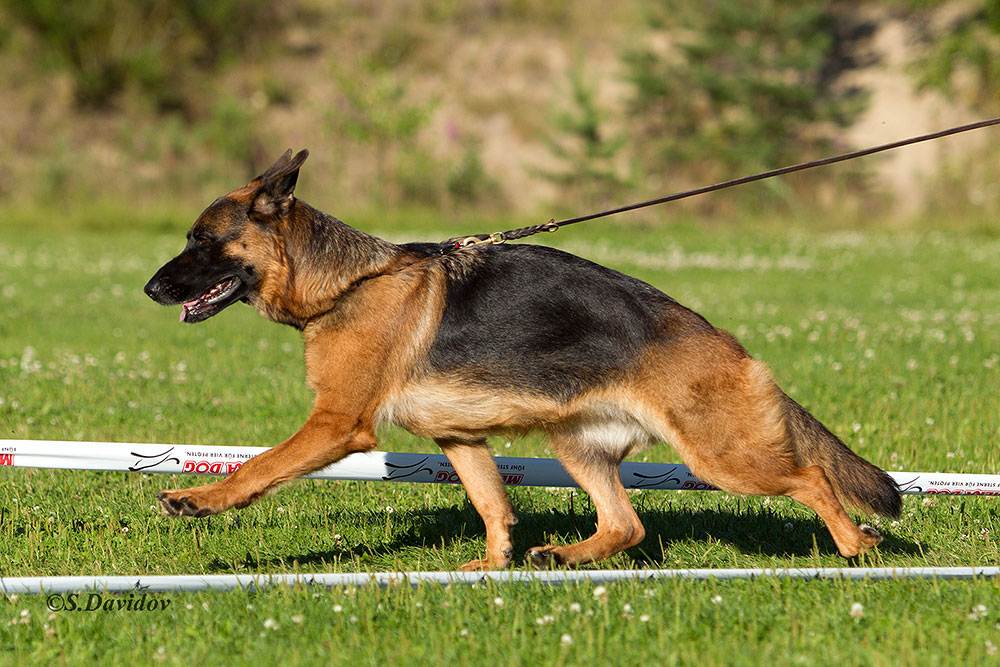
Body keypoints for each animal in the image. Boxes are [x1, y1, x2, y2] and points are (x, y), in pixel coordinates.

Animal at [145, 151, 904, 568]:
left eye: (201, 240)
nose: (151, 289)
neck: (345, 284)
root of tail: (731, 346)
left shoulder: (336, 424)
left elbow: (259, 467)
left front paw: (198, 498)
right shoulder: (459, 438)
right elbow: (492, 503)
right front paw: (487, 566)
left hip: (722, 456)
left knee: (811, 477)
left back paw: (855, 544)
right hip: (577, 444)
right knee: (626, 523)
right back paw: (562, 554)